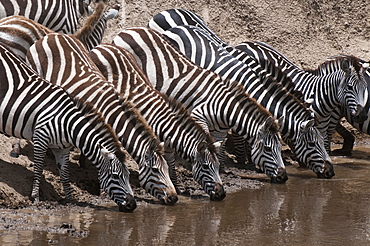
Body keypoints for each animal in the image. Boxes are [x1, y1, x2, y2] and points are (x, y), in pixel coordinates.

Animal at [0, 41, 136, 211]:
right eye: (116, 176)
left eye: (129, 176)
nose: (133, 205)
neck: (68, 125)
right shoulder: (40, 138)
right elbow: (38, 169)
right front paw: (35, 197)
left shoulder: (62, 149)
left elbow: (65, 174)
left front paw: (70, 199)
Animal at [89, 43, 227, 199]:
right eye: (206, 166)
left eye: (217, 166)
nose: (222, 194)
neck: (164, 125)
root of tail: (104, 45)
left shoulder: (166, 144)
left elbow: (169, 162)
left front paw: (175, 186)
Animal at [112, 27, 290, 184]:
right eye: (268, 148)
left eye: (279, 148)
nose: (283, 177)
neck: (225, 107)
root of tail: (129, 30)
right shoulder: (199, 116)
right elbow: (202, 142)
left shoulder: (220, 131)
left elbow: (218, 149)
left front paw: (219, 170)